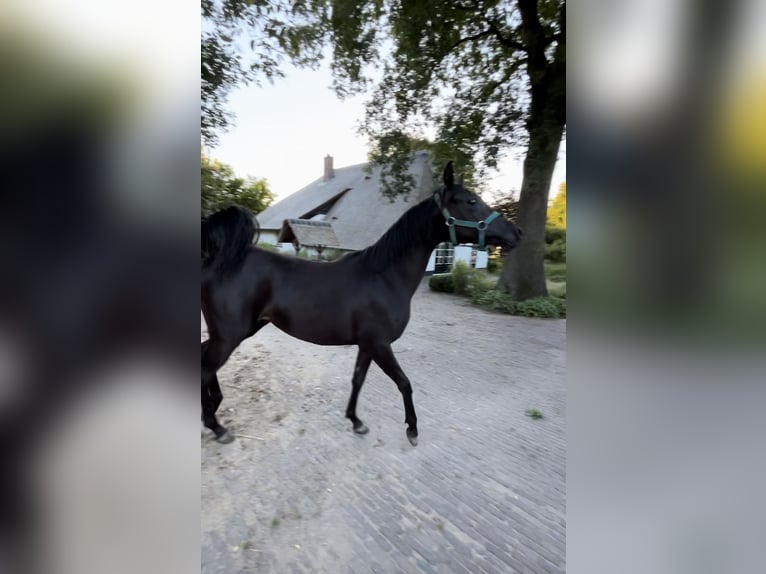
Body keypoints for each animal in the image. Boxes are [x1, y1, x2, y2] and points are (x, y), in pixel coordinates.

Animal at [201, 162, 520, 446]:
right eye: (471, 201)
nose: (515, 234)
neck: (384, 276)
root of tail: (219, 260)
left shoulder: (367, 345)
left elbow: (358, 380)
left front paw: (355, 421)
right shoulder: (380, 344)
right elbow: (404, 382)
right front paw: (412, 430)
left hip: (243, 330)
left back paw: (214, 406)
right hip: (231, 335)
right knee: (205, 367)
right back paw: (216, 426)